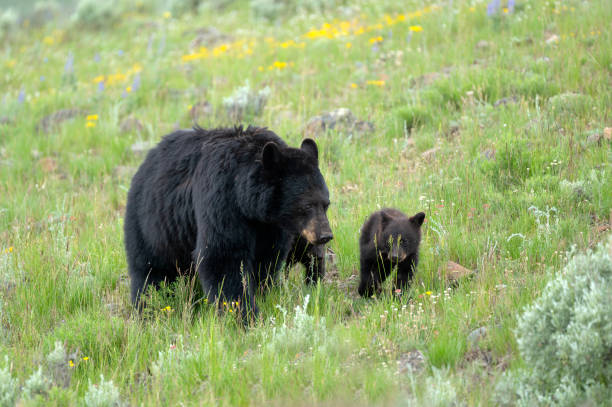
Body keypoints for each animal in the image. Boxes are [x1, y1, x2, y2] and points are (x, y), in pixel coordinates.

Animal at [123, 126, 332, 318]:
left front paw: (261, 294)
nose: (325, 235)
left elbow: (266, 259)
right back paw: (147, 309)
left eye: (326, 204)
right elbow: (222, 256)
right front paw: (244, 314)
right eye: (306, 205)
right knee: (151, 272)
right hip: (154, 225)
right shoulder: (222, 200)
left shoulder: (270, 226)